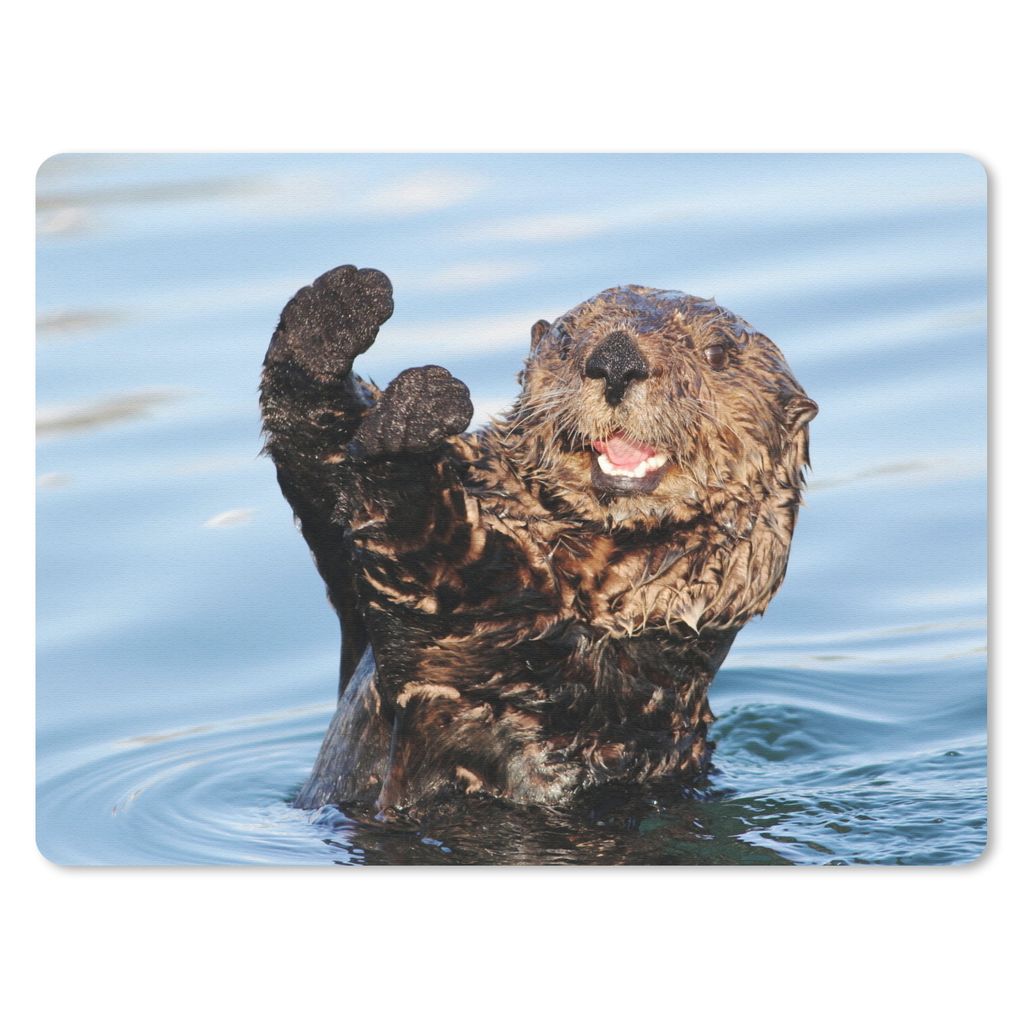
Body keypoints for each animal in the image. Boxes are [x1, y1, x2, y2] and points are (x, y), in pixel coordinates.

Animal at [260, 265, 817, 814]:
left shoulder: (523, 657)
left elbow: (437, 561)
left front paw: (412, 419)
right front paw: (335, 312)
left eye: (717, 354)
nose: (616, 361)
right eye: (567, 341)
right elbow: (322, 473)